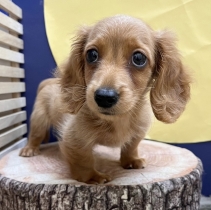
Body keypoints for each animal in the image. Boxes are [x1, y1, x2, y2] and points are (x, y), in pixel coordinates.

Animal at [20, 14, 191, 183]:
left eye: (138, 58)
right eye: (92, 55)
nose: (104, 97)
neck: (117, 120)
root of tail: (47, 83)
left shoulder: (138, 133)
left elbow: (131, 146)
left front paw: (130, 160)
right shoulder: (73, 139)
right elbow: (83, 160)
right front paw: (92, 177)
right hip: (39, 120)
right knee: (35, 135)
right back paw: (29, 149)